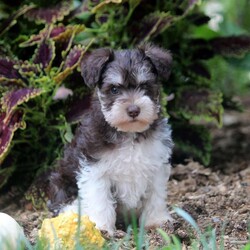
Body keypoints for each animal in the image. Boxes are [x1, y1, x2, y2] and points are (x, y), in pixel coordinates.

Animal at [48, 43, 174, 234]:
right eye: (114, 89)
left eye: (145, 86)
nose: (133, 110)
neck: (128, 133)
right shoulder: (95, 169)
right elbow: (100, 199)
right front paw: (101, 227)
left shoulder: (157, 165)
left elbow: (156, 195)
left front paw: (156, 221)